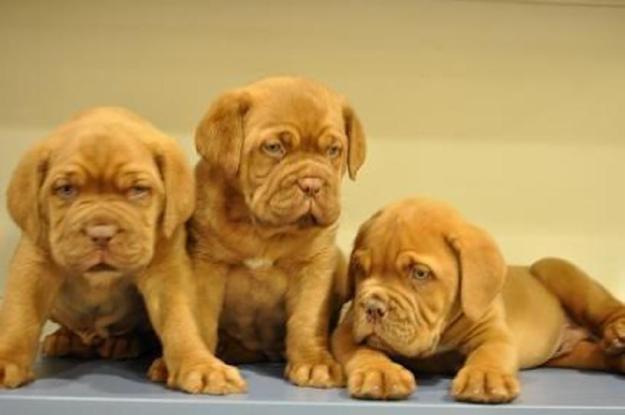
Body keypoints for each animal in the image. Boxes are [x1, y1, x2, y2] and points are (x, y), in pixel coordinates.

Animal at [0, 107, 217, 394]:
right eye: (66, 189)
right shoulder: (33, 262)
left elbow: (180, 319)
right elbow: (19, 315)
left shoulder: (167, 269)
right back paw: (65, 339)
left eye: (138, 190)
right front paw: (6, 359)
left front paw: (200, 365)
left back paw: (123, 342)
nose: (101, 234)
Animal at [148, 77, 366, 394]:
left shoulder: (314, 265)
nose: (312, 184)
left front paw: (314, 363)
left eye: (333, 150)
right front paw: (201, 365)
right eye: (274, 147)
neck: (262, 229)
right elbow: (200, 318)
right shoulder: (206, 265)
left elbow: (307, 319)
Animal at [332, 198, 624, 404]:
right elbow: (363, 351)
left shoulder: (493, 332)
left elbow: (490, 353)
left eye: (420, 273)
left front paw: (484, 378)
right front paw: (379, 373)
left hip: (557, 269)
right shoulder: (347, 330)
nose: (372, 308)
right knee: (598, 354)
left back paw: (618, 331)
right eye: (359, 268)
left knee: (606, 306)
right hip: (573, 355)